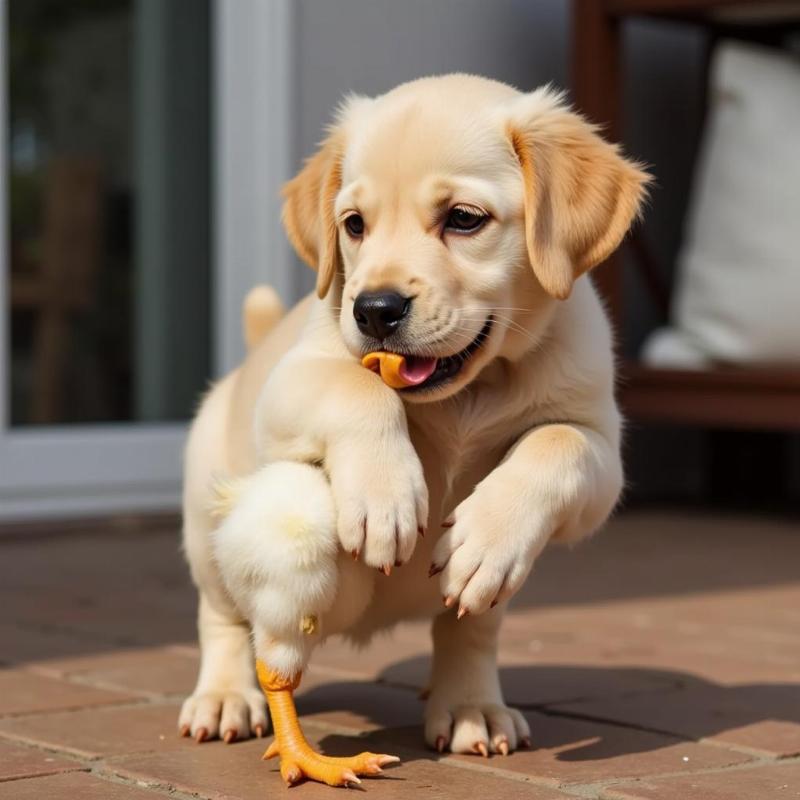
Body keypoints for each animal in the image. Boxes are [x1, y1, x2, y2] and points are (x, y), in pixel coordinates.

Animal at [181, 75, 648, 756]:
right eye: (353, 225)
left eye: (463, 219)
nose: (374, 309)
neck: (468, 394)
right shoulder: (291, 381)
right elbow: (358, 386)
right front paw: (385, 498)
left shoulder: (600, 451)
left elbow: (554, 443)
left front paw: (485, 534)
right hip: (206, 518)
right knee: (221, 614)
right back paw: (223, 697)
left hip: (493, 594)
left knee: (469, 626)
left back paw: (472, 706)